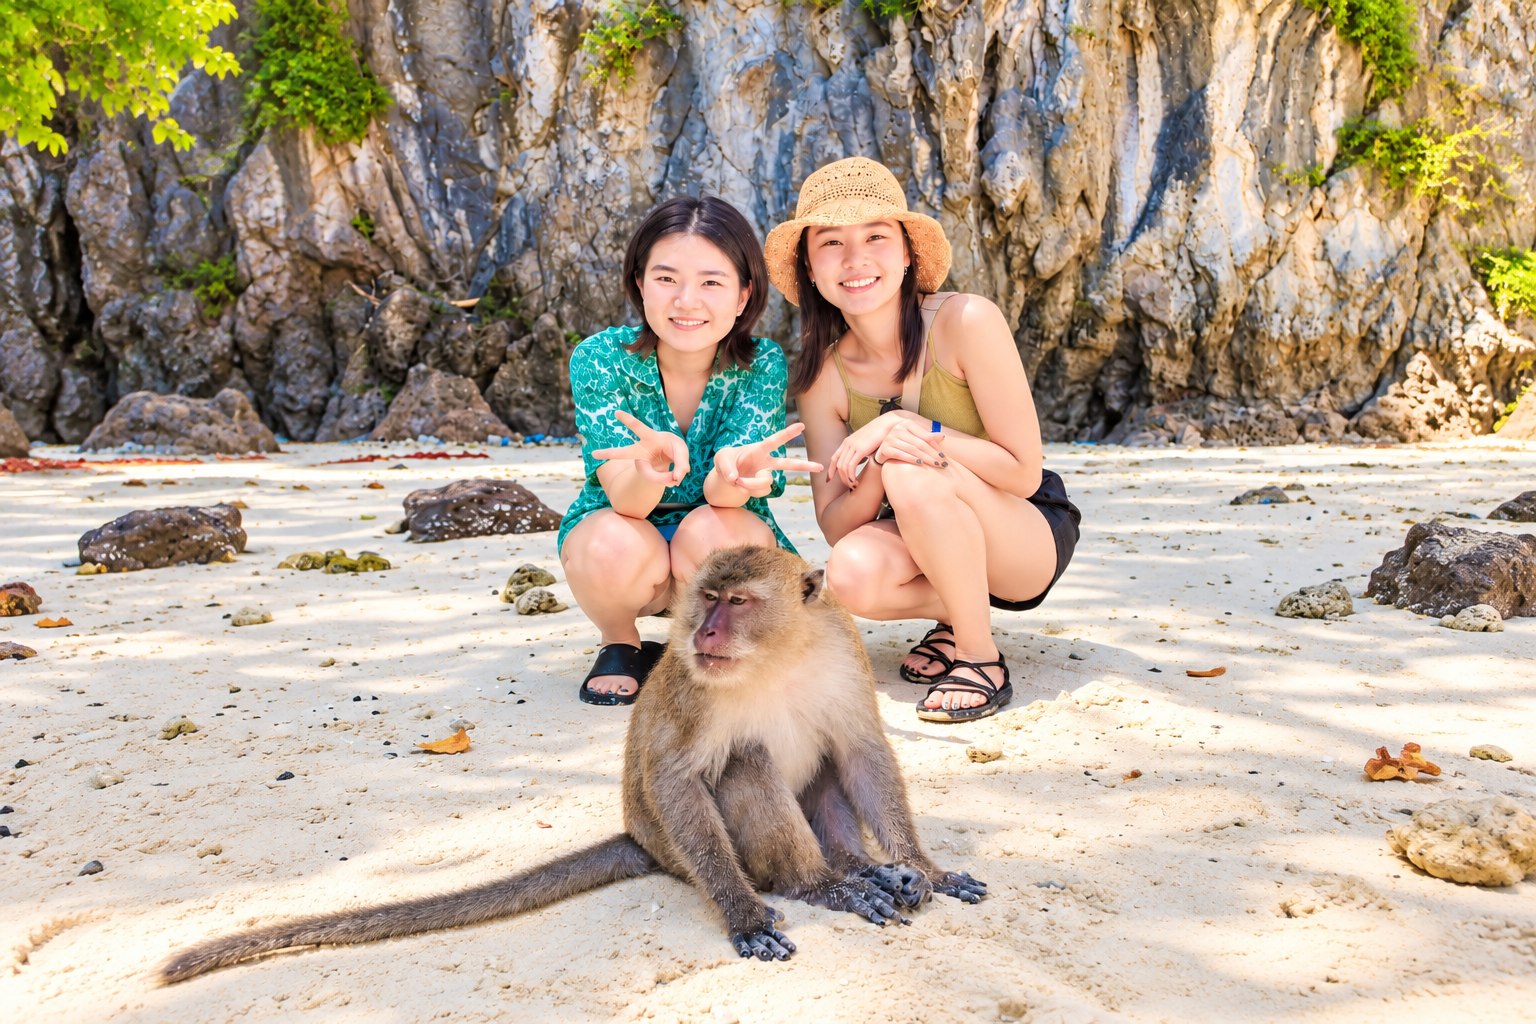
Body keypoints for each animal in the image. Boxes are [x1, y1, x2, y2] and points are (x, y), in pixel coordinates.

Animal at [160, 545, 985, 983]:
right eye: (706, 598)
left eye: (739, 601)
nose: (705, 631)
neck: (778, 655)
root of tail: (642, 843)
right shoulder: (693, 687)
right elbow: (676, 777)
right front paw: (748, 913)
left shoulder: (839, 652)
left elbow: (862, 751)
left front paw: (925, 867)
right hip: (681, 847)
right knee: (743, 763)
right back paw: (823, 884)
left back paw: (865, 868)